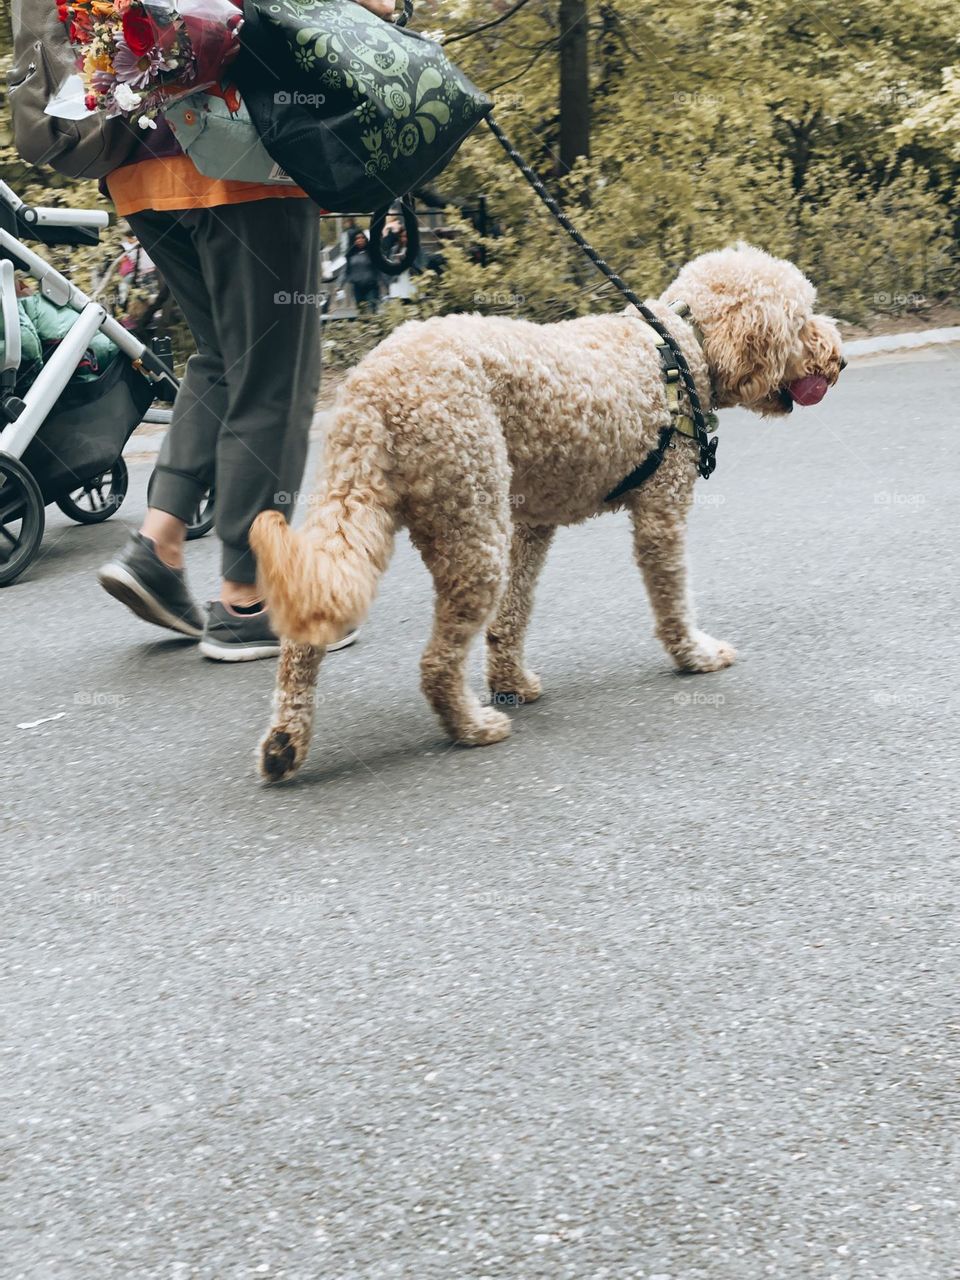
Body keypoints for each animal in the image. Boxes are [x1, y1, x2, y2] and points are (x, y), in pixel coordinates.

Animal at [252, 241, 844, 778]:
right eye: (800, 320)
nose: (838, 357)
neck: (681, 344)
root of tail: (373, 387)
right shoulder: (662, 513)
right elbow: (673, 597)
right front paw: (695, 655)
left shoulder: (531, 526)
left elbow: (513, 615)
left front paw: (511, 682)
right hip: (471, 529)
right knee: (435, 662)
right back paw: (471, 726)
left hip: (361, 502)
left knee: (309, 630)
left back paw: (285, 742)